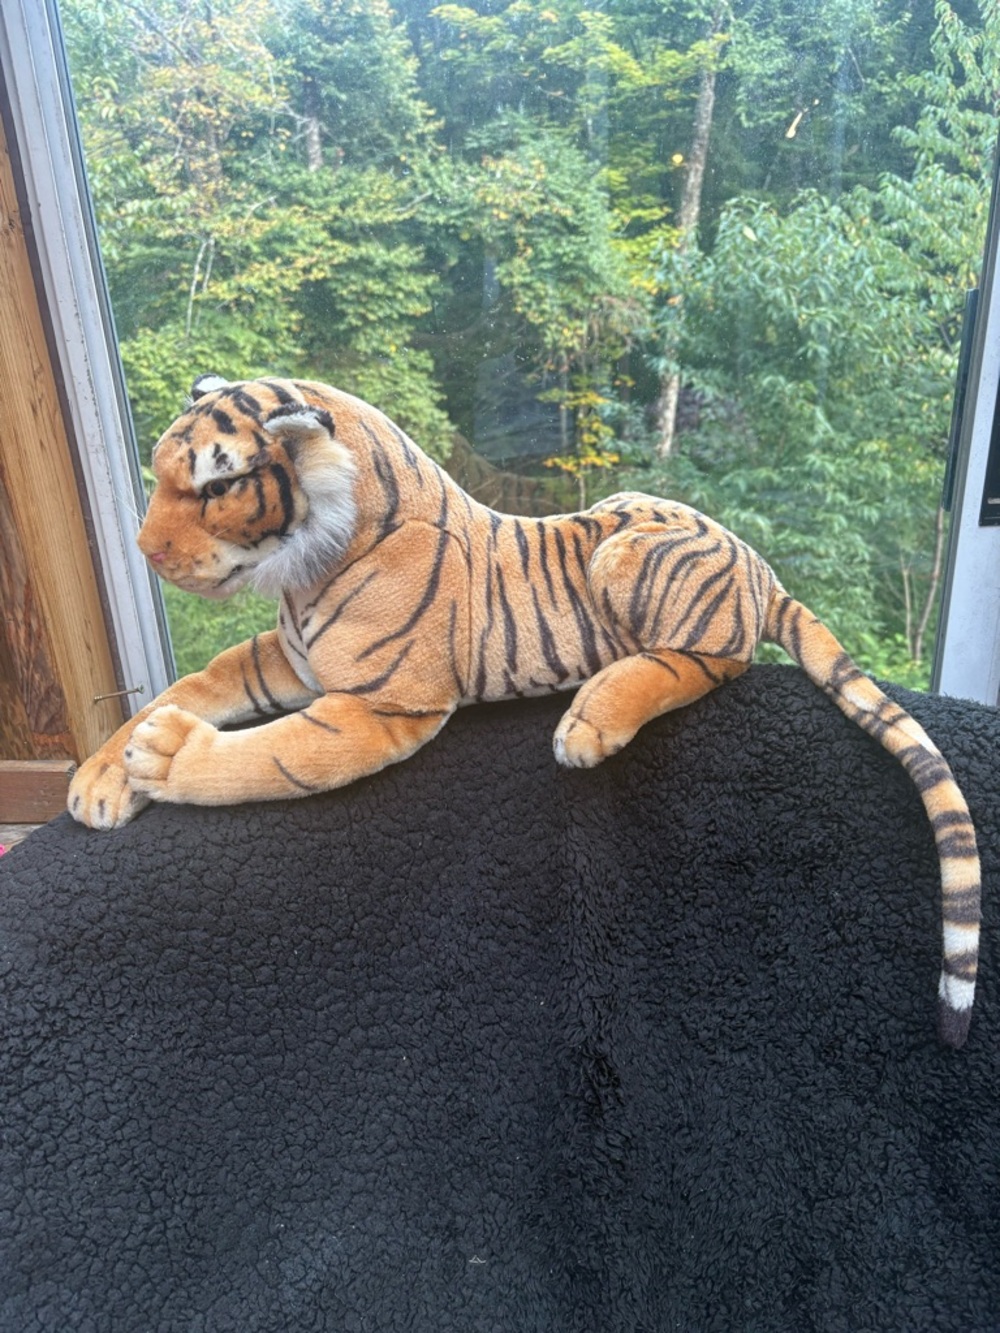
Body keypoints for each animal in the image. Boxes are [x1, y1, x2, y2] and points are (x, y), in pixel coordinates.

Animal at [68, 374, 982, 1047]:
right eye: (161, 475)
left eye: (219, 484)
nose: (147, 550)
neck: (306, 570)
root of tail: (758, 560)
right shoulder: (280, 656)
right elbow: (195, 683)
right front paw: (100, 776)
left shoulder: (380, 705)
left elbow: (270, 753)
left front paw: (162, 756)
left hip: (629, 554)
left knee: (710, 660)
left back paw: (590, 719)